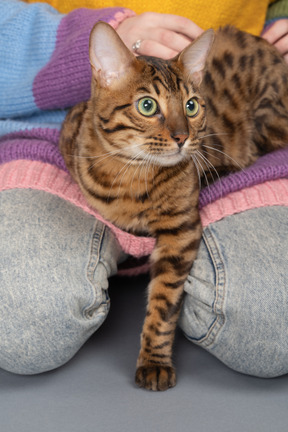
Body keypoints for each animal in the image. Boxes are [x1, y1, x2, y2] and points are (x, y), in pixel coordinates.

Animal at [59, 22, 288, 390]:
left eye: (192, 106)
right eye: (147, 106)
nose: (182, 137)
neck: (133, 177)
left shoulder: (181, 230)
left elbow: (164, 304)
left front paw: (154, 360)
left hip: (269, 120)